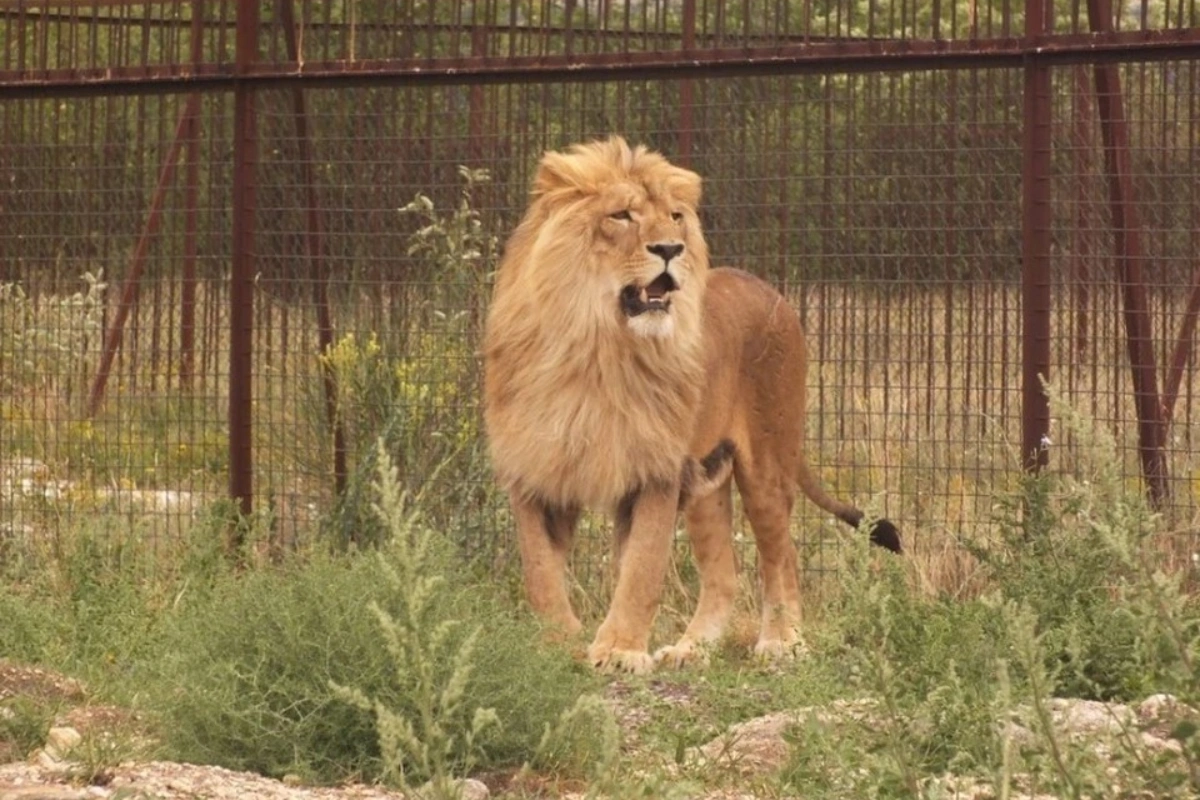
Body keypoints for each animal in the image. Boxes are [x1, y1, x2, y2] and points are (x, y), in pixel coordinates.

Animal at [482, 137, 897, 676]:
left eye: (675, 218)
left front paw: (619, 650)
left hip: (766, 465)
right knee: (724, 572)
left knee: (782, 556)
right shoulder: (535, 469)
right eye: (621, 215)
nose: (669, 249)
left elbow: (641, 567)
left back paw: (783, 642)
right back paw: (690, 649)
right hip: (707, 481)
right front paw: (558, 646)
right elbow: (540, 572)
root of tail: (769, 289)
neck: (597, 350)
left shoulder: (656, 470)